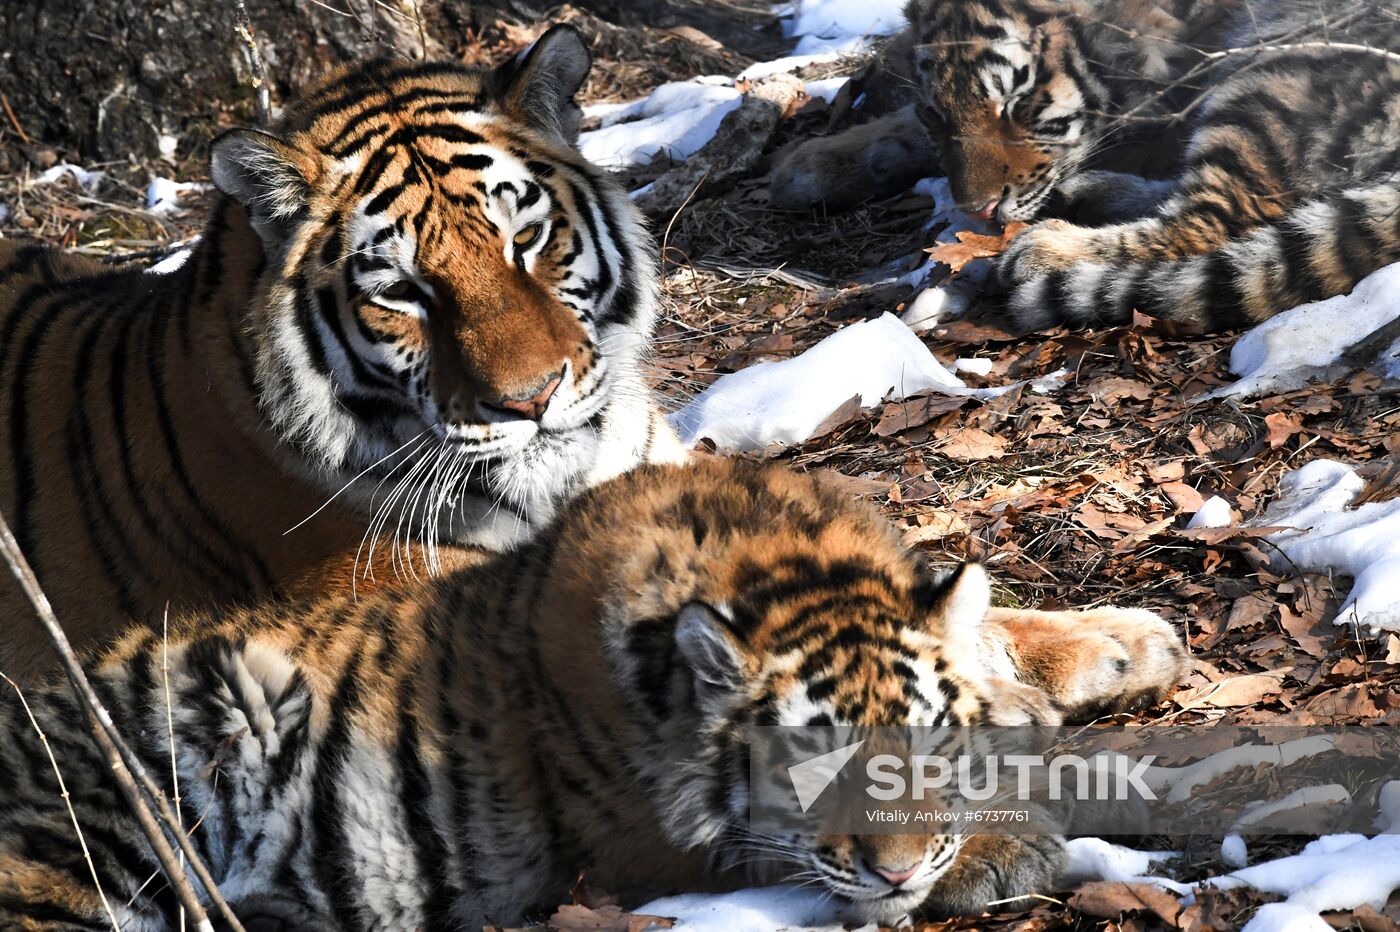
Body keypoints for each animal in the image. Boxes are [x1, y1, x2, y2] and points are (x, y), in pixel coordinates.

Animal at [0, 456, 1187, 923]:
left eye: (926, 744)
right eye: (810, 762)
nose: (899, 869)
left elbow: (994, 636)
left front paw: (1132, 641)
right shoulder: (649, 851)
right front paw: (1001, 845)